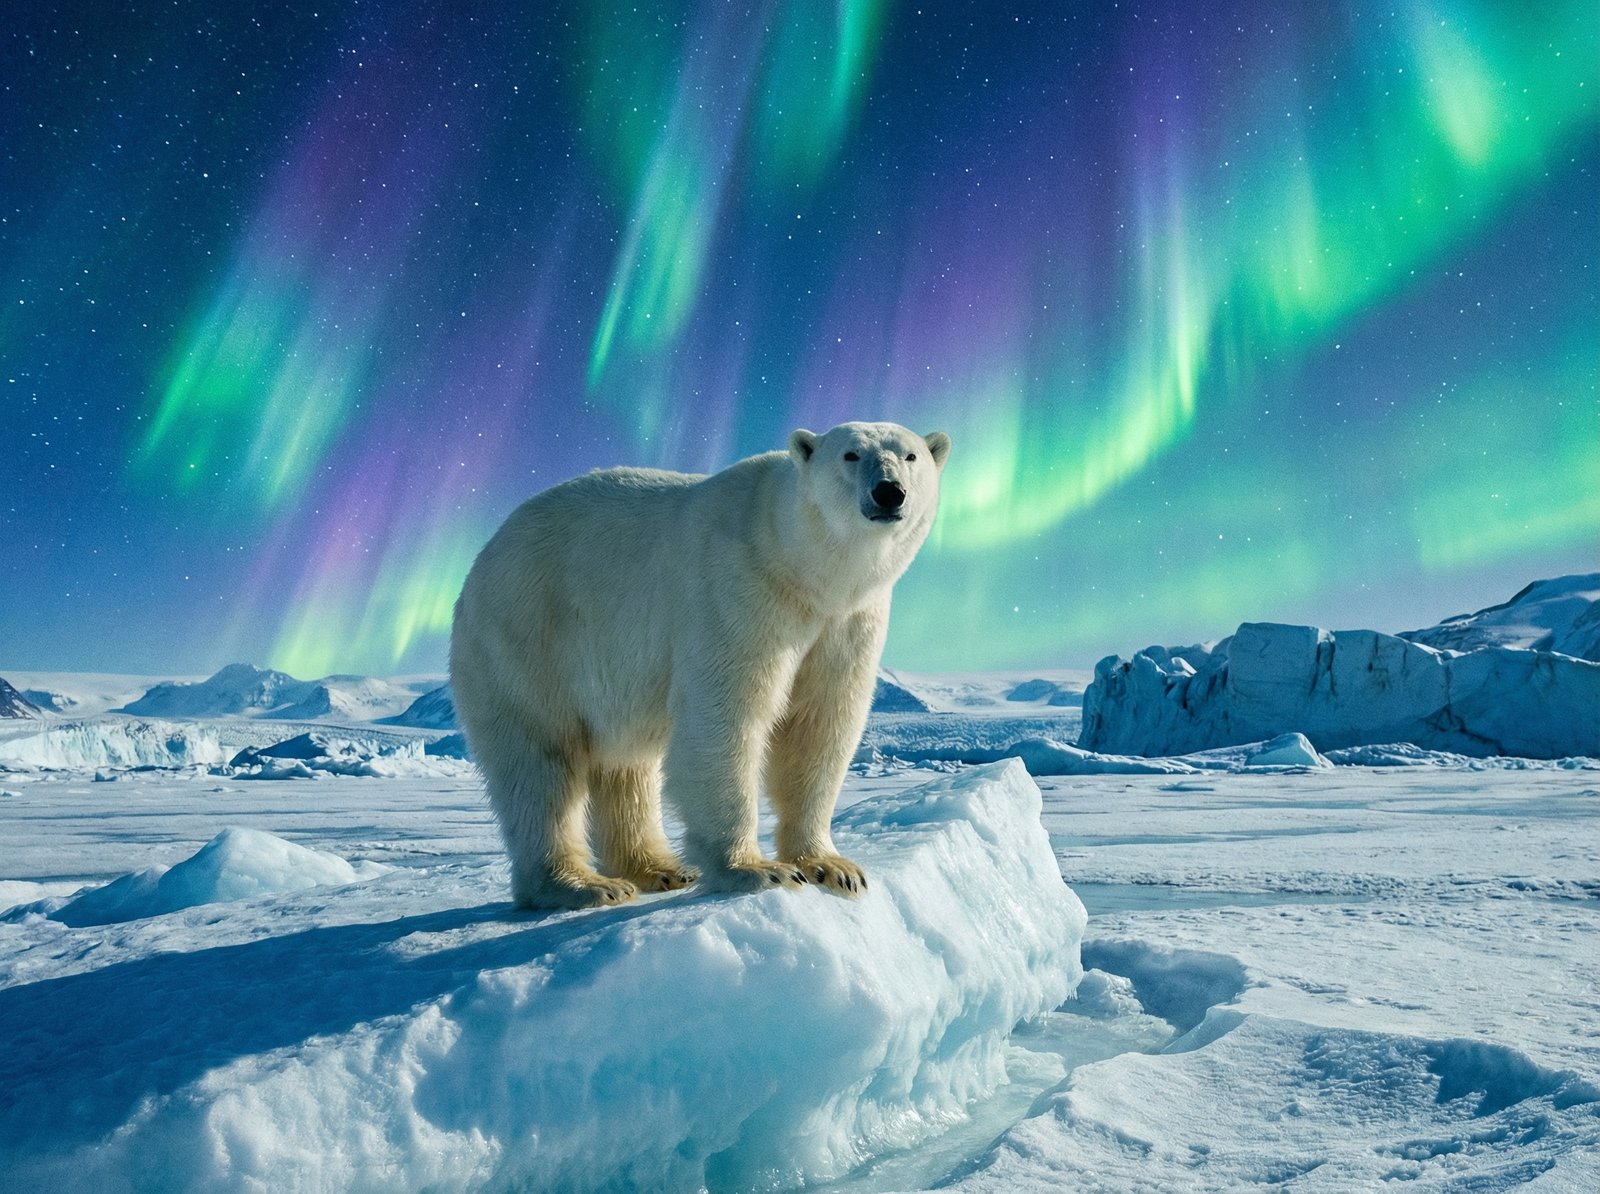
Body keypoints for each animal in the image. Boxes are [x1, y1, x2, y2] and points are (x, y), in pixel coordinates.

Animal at [450, 421, 951, 909]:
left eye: (910, 455)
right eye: (850, 454)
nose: (889, 492)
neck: (801, 566)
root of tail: (481, 563)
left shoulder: (846, 622)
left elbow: (819, 725)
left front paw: (834, 868)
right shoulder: (740, 590)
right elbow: (726, 715)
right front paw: (756, 870)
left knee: (625, 766)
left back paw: (659, 869)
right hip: (529, 637)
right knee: (540, 765)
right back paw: (582, 885)